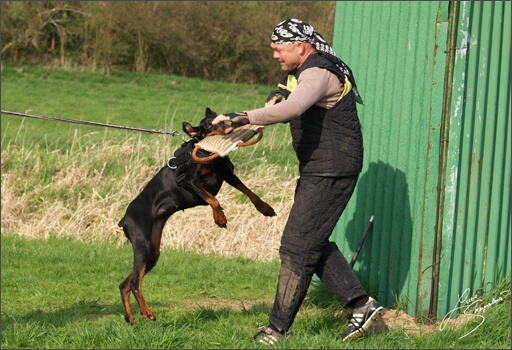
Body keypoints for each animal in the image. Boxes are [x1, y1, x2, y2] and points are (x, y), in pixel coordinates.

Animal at [117, 108, 276, 324]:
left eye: (220, 119)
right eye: (208, 126)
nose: (229, 129)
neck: (207, 153)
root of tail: (125, 219)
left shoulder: (227, 174)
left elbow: (251, 193)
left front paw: (265, 209)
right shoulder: (188, 181)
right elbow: (213, 199)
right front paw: (220, 218)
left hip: (153, 252)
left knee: (125, 284)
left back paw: (131, 318)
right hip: (143, 244)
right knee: (134, 282)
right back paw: (146, 311)